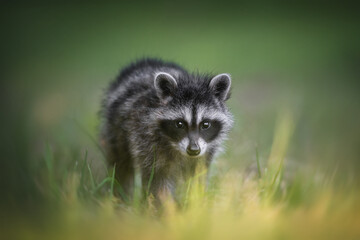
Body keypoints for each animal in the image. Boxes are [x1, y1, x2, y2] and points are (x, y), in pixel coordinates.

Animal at [100, 57, 233, 199]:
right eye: (179, 124)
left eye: (205, 124)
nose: (193, 150)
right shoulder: (145, 139)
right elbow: (158, 179)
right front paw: (164, 203)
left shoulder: (206, 150)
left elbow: (198, 175)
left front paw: (195, 199)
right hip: (115, 130)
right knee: (120, 163)